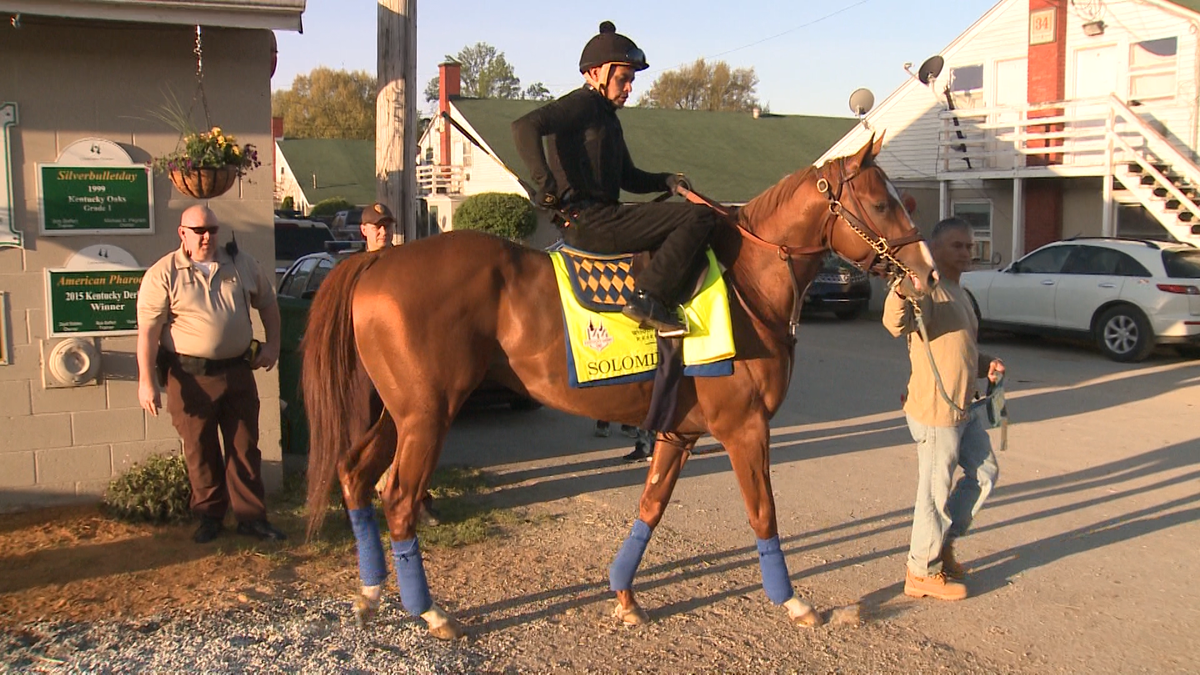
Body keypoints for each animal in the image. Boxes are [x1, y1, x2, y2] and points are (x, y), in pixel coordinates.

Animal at [302, 135, 936, 634]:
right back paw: (429, 611)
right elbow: (764, 514)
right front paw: (793, 602)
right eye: (881, 202)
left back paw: (370, 593)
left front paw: (625, 596)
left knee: (354, 475)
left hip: (399, 413)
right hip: (427, 417)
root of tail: (381, 262)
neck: (746, 286)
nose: (928, 275)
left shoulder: (679, 434)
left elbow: (650, 509)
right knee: (397, 498)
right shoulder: (745, 429)